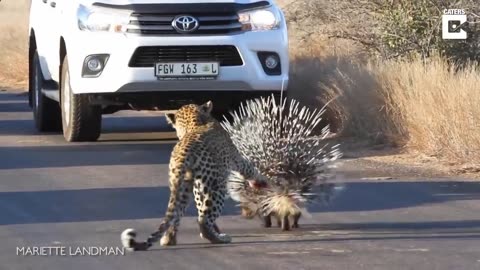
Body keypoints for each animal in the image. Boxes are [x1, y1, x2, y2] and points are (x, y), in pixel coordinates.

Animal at [120, 100, 262, 251]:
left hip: (181, 186)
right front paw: (262, 181)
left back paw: (169, 239)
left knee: (177, 213)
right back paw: (219, 238)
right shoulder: (236, 158)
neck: (194, 124)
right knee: (203, 221)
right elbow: (249, 169)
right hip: (216, 187)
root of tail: (184, 151)